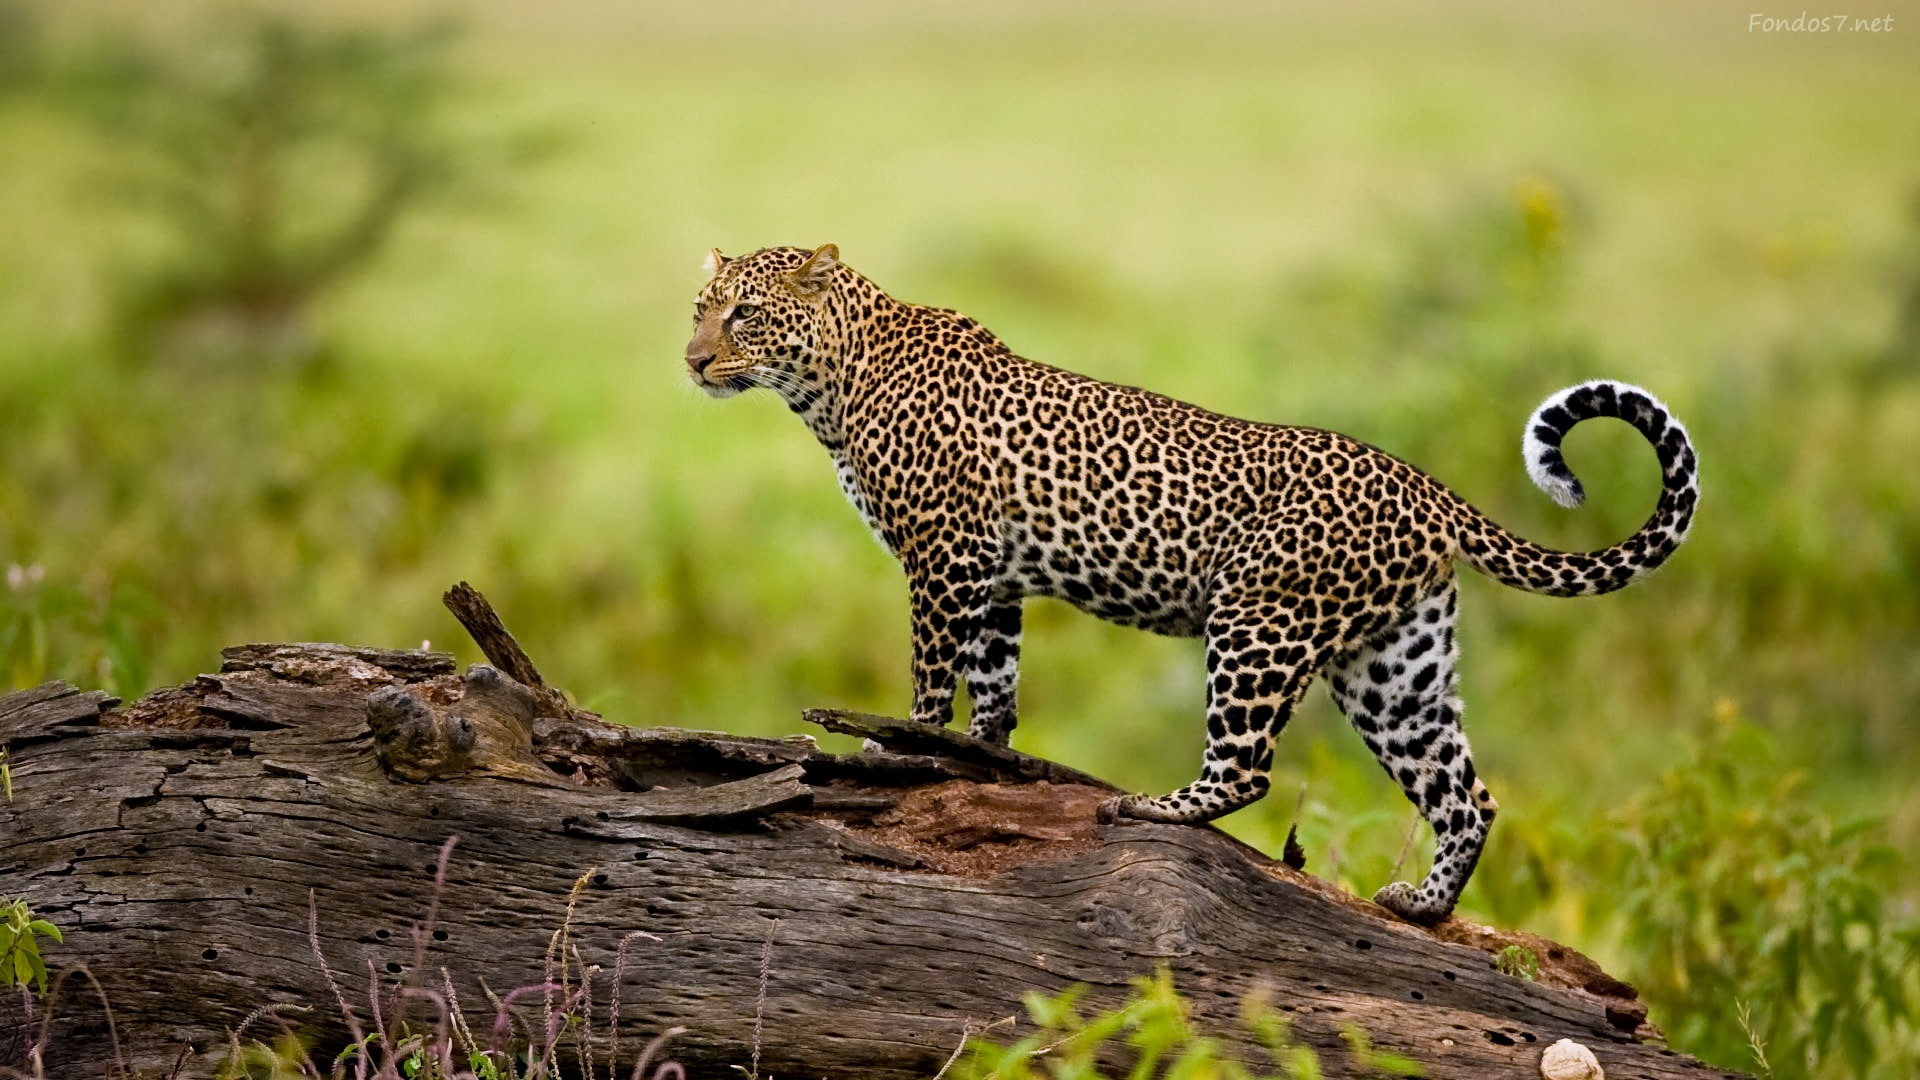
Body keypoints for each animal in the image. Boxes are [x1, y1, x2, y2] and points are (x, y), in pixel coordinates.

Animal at [684, 243, 1699, 925]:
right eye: (699, 308)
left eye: (744, 316)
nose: (692, 361)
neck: (830, 386)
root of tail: (1427, 488)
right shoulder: (994, 577)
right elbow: (996, 684)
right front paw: (980, 757)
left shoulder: (943, 559)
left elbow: (933, 678)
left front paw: (894, 754)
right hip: (1394, 668)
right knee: (1465, 795)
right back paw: (1423, 906)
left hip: (1257, 623)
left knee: (1248, 769)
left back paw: (1152, 805)